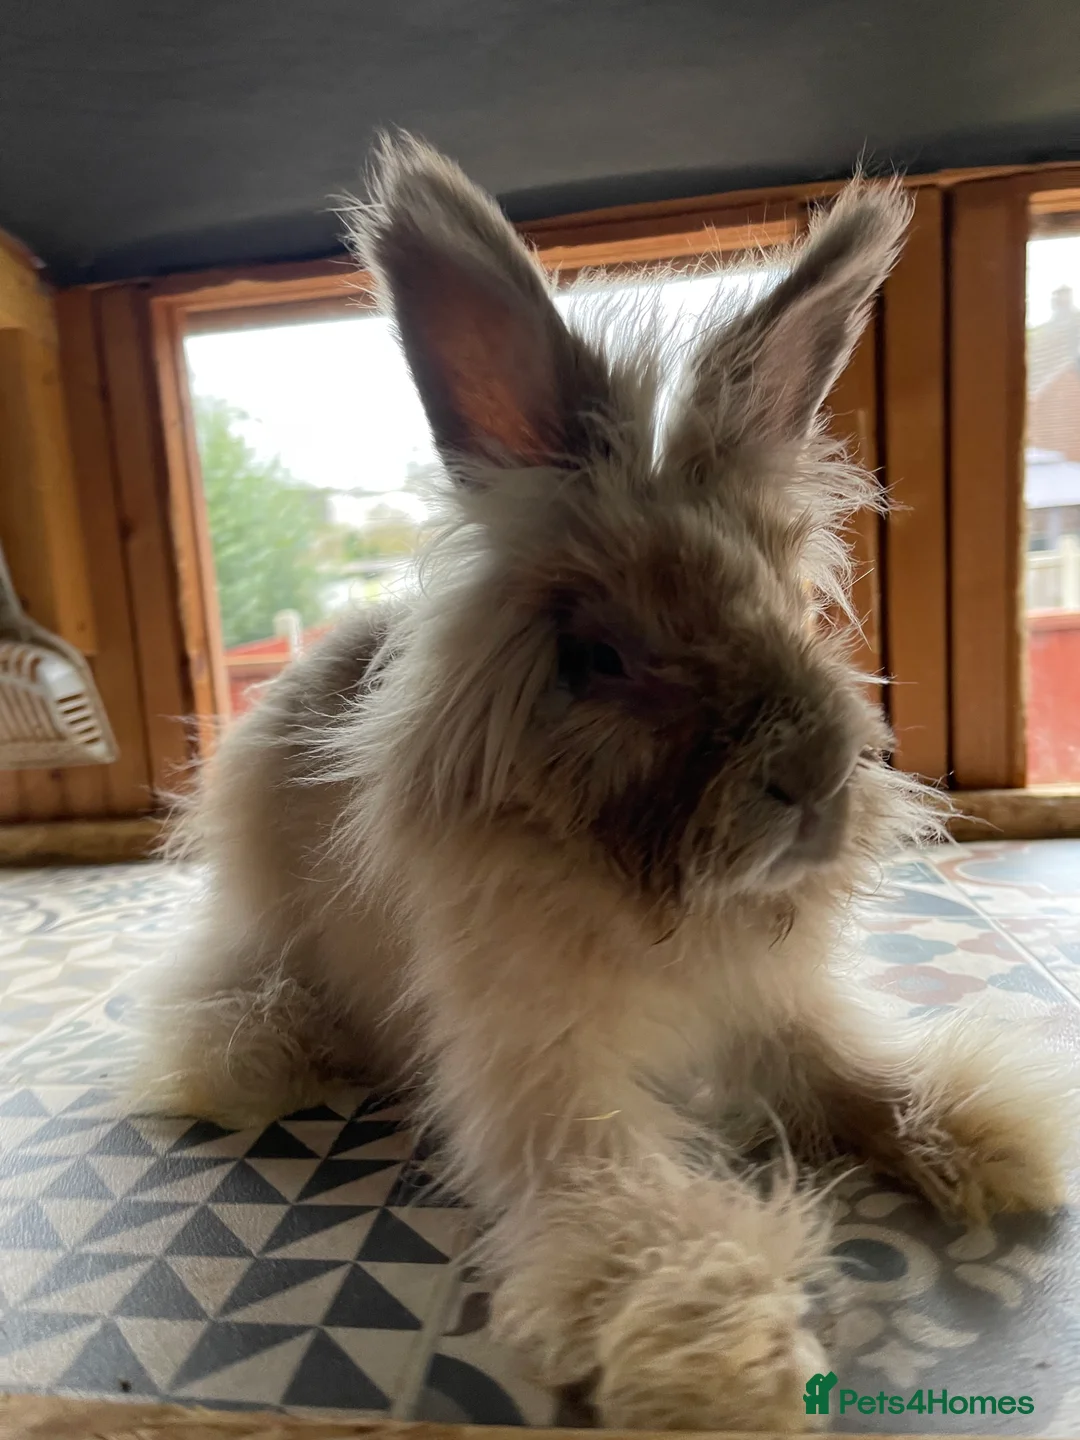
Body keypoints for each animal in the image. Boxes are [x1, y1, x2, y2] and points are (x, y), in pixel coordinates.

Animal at [131, 134, 1077, 1431]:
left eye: (790, 606)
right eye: (601, 658)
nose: (814, 775)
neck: (653, 899)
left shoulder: (778, 1014)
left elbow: (858, 1075)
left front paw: (988, 1135)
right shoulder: (554, 1090)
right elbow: (635, 1216)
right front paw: (731, 1361)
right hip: (268, 940)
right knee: (218, 999)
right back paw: (273, 1054)